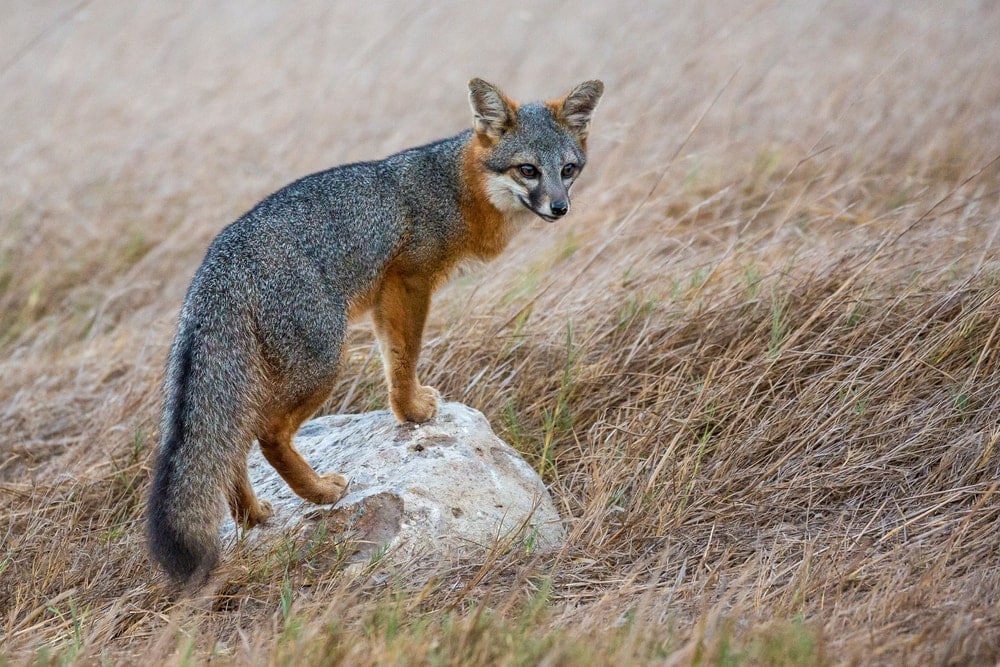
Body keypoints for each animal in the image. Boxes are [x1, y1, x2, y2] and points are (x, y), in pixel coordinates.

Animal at [147, 77, 604, 585]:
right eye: (528, 170)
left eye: (567, 169)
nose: (560, 207)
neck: (456, 186)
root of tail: (217, 263)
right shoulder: (409, 283)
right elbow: (406, 356)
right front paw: (413, 412)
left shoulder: (387, 298)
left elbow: (393, 357)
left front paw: (406, 410)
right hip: (323, 363)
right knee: (267, 434)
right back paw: (320, 492)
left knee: (232, 445)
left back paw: (252, 514)